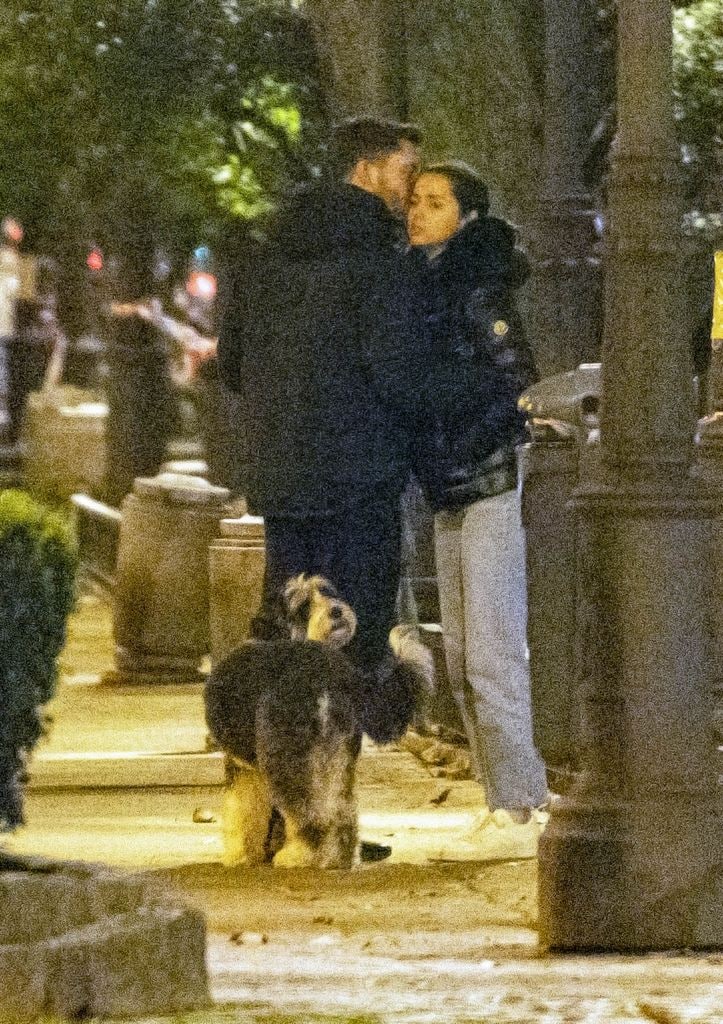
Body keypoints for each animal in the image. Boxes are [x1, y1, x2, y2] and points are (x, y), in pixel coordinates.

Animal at [202, 573, 430, 868]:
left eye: (325, 592)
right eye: (303, 607)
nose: (336, 610)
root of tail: (329, 669)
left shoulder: (245, 769)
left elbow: (243, 812)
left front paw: (240, 855)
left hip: (288, 757)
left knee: (310, 815)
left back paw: (299, 856)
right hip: (339, 758)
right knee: (343, 811)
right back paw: (342, 858)